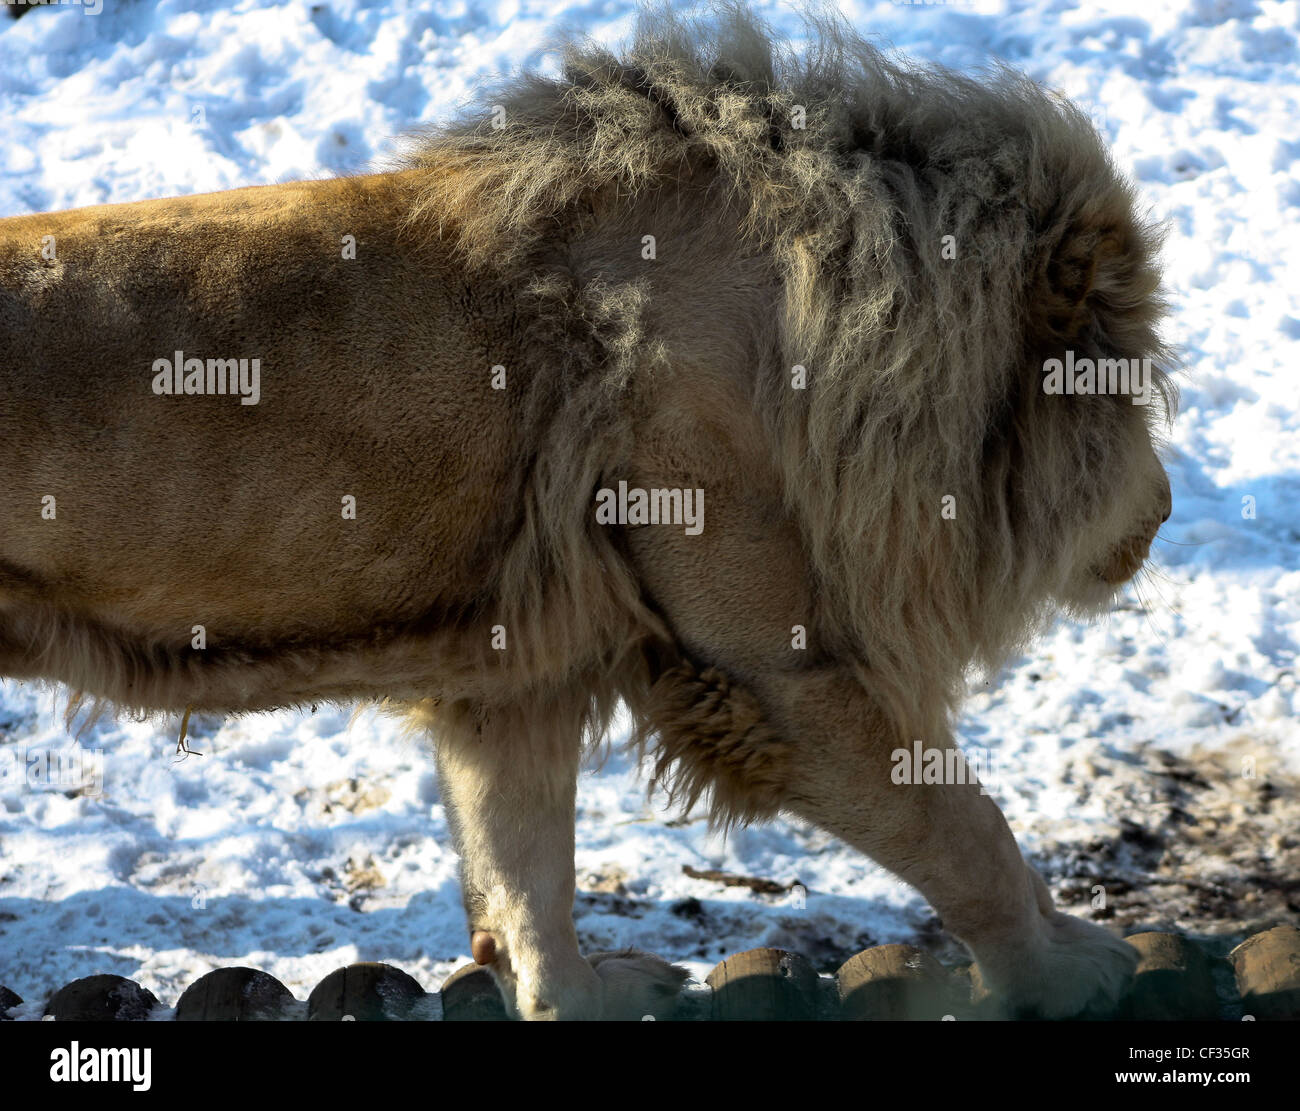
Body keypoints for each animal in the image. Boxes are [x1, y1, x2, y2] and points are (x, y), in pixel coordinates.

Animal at [0, 2, 1175, 1019]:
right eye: (1125, 391)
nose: (1164, 512)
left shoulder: (513, 670)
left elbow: (523, 858)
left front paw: (575, 991)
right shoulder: (773, 671)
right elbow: (962, 828)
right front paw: (1064, 968)